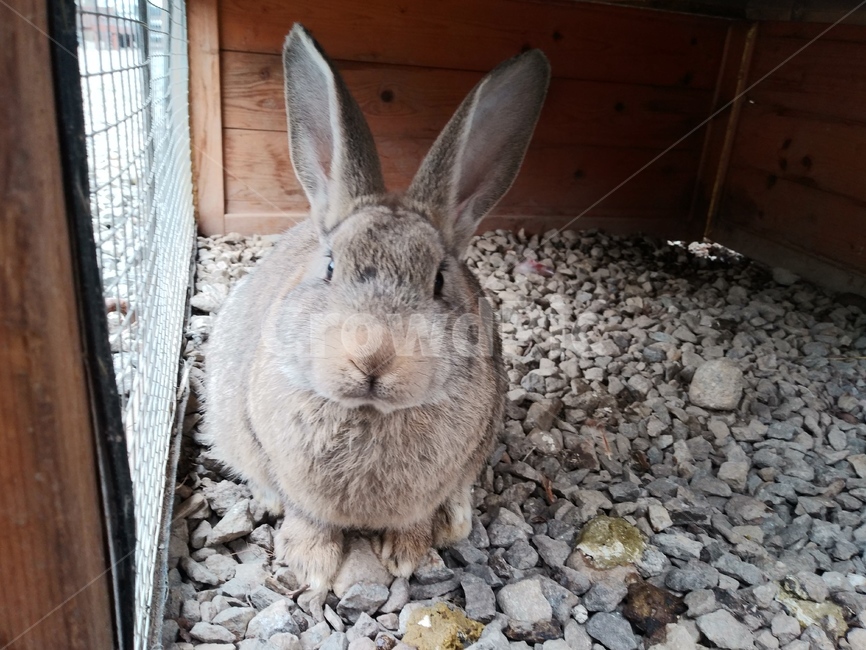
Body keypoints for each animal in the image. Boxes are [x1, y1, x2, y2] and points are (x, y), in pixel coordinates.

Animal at [205, 23, 550, 593]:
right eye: (329, 266)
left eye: (439, 280)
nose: (373, 359)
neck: (369, 412)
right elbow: (309, 517)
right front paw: (311, 566)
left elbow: (414, 519)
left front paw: (407, 556)